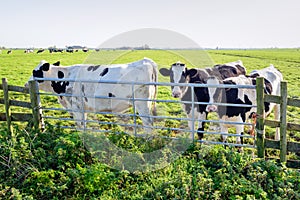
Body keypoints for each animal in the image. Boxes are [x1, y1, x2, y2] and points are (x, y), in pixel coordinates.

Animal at [25, 57, 159, 131]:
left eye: (35, 72)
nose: (26, 84)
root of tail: (145, 61)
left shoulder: (76, 107)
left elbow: (80, 125)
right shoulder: (83, 108)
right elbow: (83, 124)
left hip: (142, 104)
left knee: (148, 124)